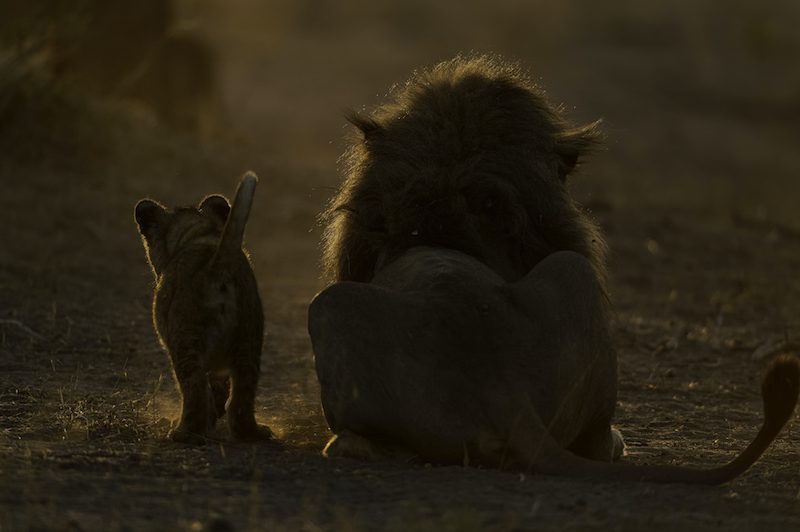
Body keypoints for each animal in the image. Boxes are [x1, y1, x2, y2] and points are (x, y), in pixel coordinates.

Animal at [135, 172, 272, 445]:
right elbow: (218, 390)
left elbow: (205, 392)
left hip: (185, 341)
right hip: (249, 341)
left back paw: (182, 433)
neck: (199, 234)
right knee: (241, 399)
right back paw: (254, 433)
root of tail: (219, 263)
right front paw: (215, 415)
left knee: (194, 391)